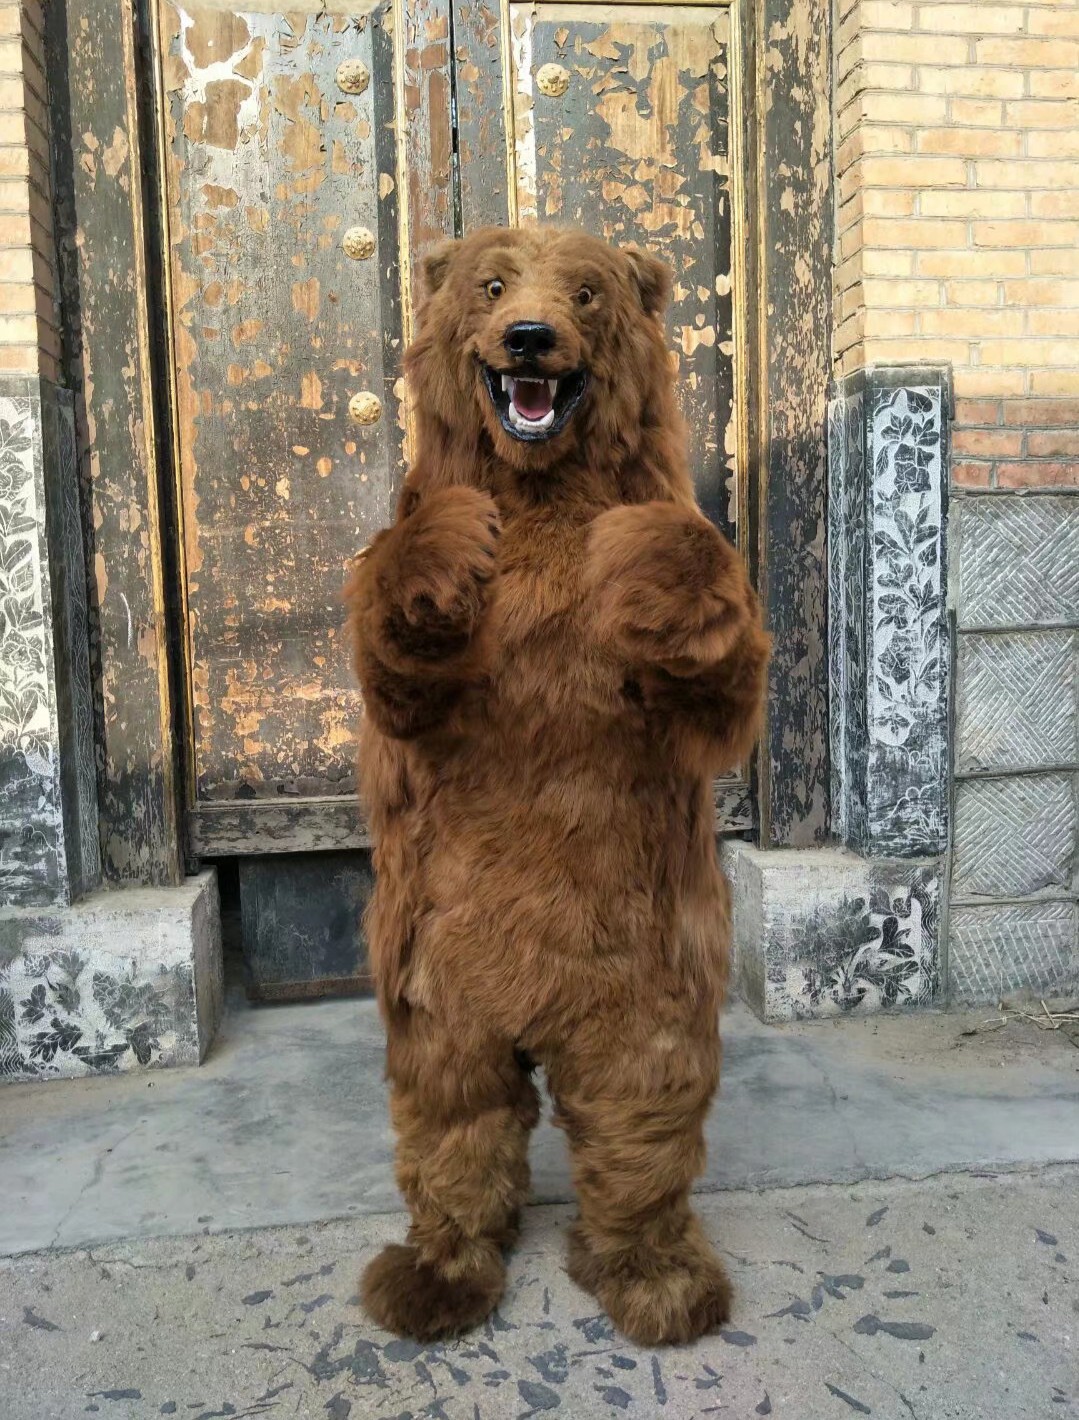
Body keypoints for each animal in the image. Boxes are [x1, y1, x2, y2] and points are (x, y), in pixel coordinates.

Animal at [345, 225, 770, 1347]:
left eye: (585, 292)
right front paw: (447, 545)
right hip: (435, 979)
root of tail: (535, 1021)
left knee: (640, 1112)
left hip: (647, 976)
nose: (529, 337)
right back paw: (436, 1272)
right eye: (491, 284)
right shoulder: (432, 670)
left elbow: (717, 691)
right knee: (452, 1111)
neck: (538, 484)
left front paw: (645, 557)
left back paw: (657, 1278)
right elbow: (401, 678)